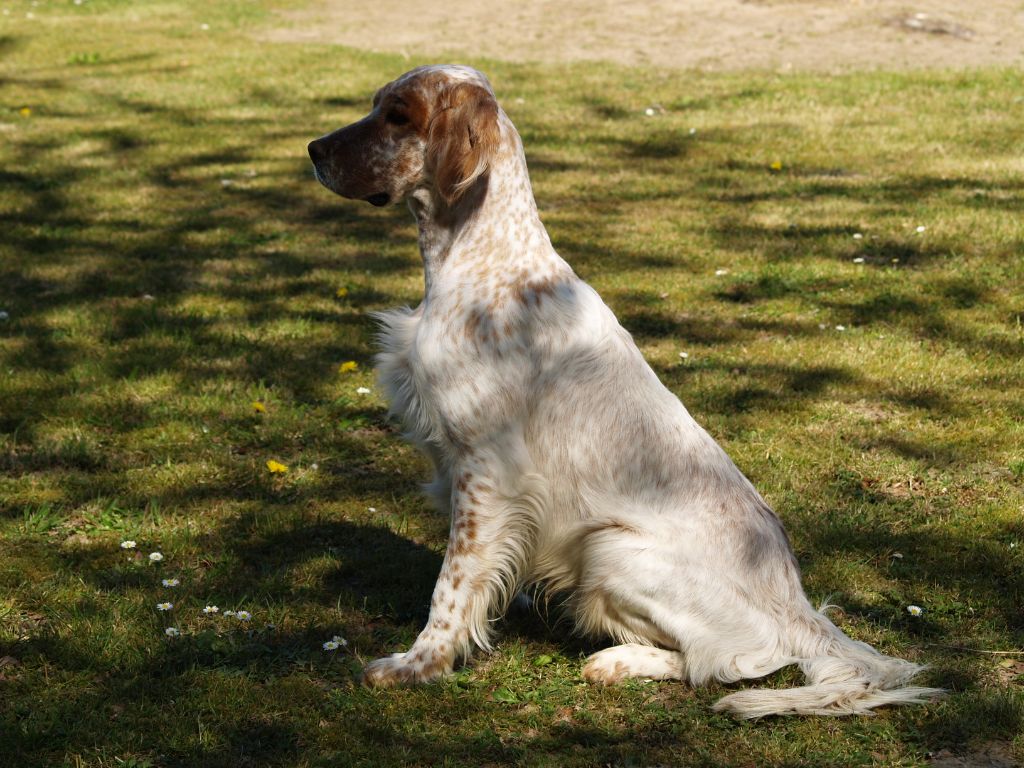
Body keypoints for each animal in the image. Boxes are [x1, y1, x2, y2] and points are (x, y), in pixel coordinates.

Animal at [305, 66, 942, 720]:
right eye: (376, 105)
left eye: (398, 115)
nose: (313, 150)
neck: (486, 262)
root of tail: (797, 607)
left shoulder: (484, 468)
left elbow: (452, 585)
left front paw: (418, 664)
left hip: (610, 548)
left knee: (733, 660)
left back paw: (617, 661)